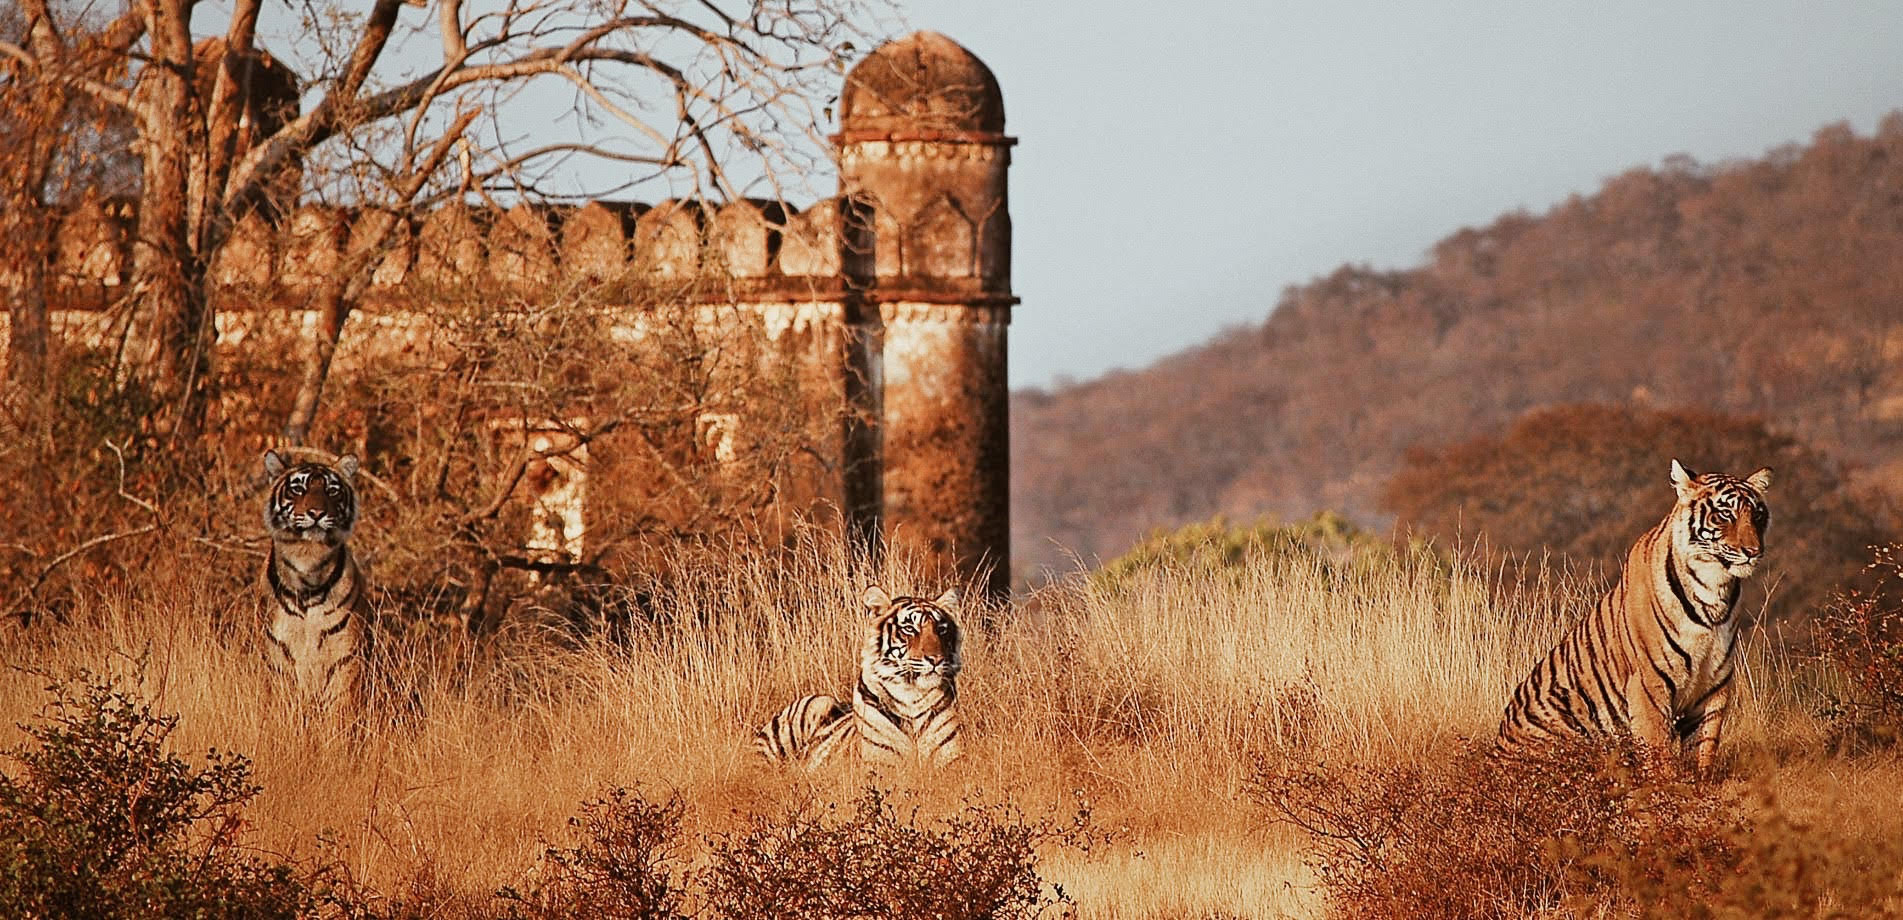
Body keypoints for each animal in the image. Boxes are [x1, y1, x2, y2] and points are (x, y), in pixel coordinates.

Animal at [753, 590, 966, 769]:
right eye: (909, 628)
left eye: (941, 629)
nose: (936, 659)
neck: (912, 696)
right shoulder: (880, 766)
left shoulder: (951, 764)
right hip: (812, 707)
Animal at [1491, 457, 1773, 773]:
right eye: (1725, 514)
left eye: (1758, 515)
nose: (1753, 551)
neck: (1714, 588)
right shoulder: (1649, 682)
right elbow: (1659, 749)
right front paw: (1668, 785)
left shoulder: (1714, 684)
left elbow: (1704, 748)